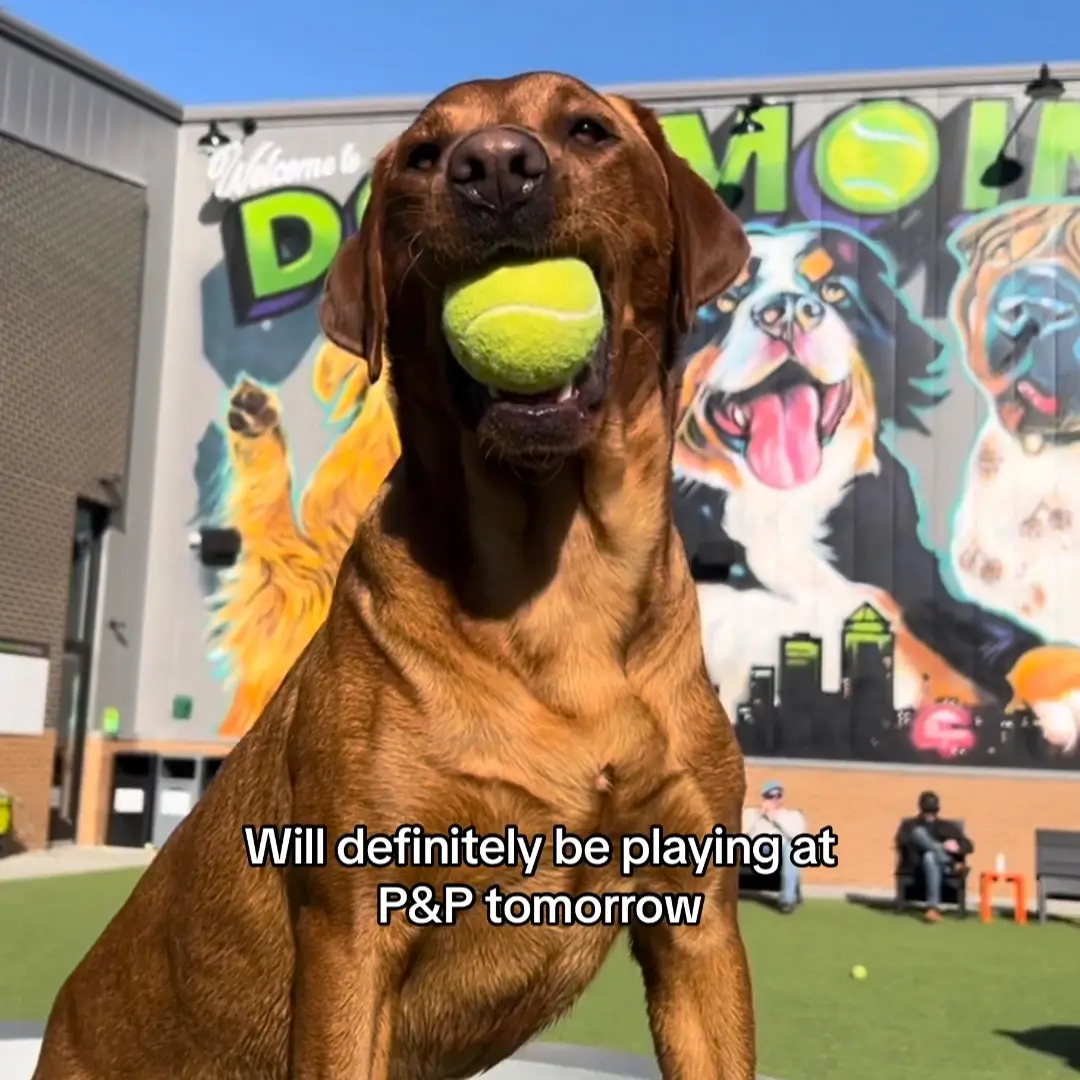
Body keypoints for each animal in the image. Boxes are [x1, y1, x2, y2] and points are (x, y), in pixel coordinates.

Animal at [38, 71, 756, 1075]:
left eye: (587, 128)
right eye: (424, 152)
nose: (494, 166)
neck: (558, 586)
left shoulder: (698, 921)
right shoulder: (354, 928)